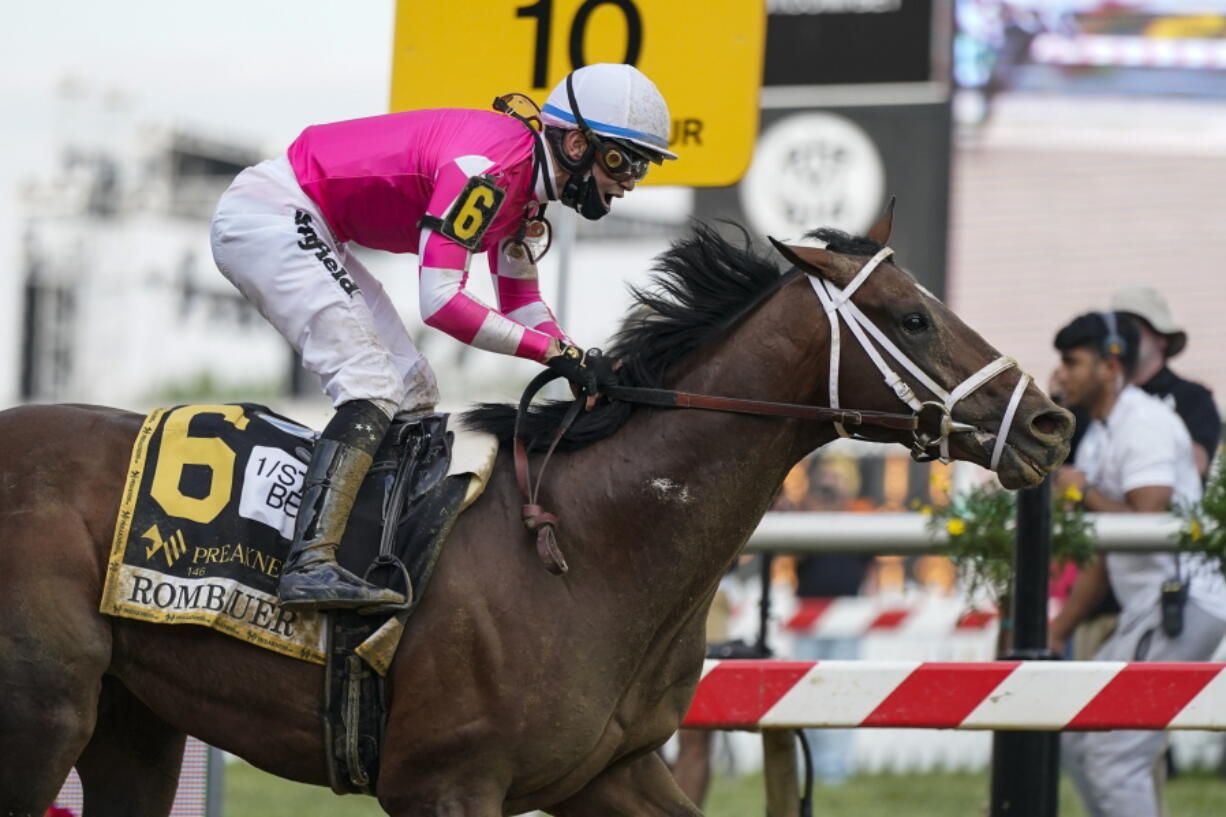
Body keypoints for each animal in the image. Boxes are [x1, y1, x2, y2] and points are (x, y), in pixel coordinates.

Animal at [0, 207, 1073, 809]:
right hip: (44, 714)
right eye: (914, 318)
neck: (592, 546)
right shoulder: (443, 785)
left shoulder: (613, 770)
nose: (1051, 421)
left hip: (134, 726)